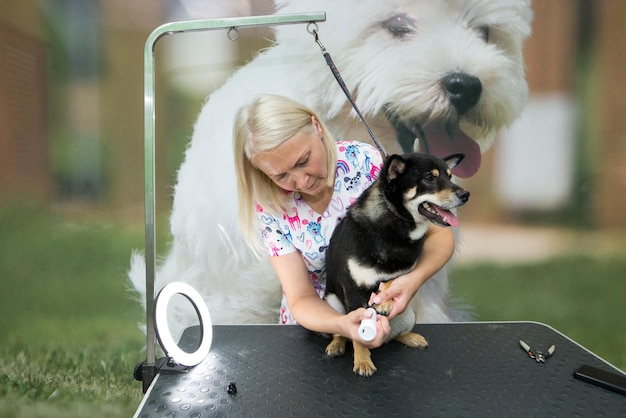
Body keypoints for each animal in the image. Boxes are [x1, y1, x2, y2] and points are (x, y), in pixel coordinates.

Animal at [324, 152, 466, 378]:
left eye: (450, 177)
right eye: (429, 178)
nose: (465, 194)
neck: (396, 226)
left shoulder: (405, 271)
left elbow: (393, 279)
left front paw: (384, 300)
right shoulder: (353, 290)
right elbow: (357, 336)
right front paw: (362, 361)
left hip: (408, 315)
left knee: (394, 335)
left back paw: (411, 338)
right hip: (333, 303)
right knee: (343, 332)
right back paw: (337, 344)